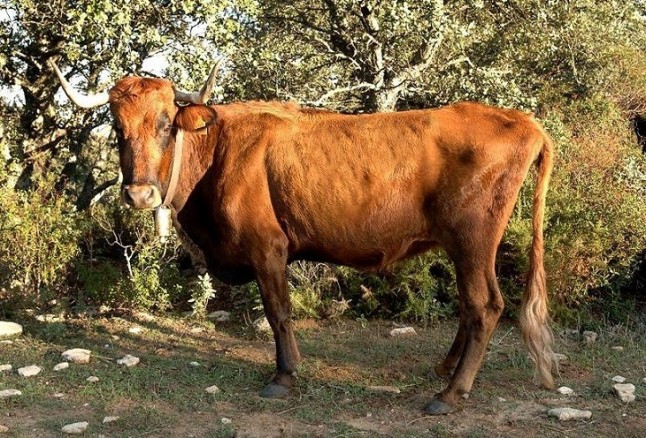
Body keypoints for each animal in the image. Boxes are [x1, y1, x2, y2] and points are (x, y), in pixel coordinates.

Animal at [50, 60, 555, 415]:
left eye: (164, 124)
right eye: (117, 128)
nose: (139, 193)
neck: (216, 151)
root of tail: (522, 120)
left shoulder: (267, 247)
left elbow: (278, 312)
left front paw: (284, 375)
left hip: (472, 239)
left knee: (485, 306)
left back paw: (450, 392)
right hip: (464, 245)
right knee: (471, 308)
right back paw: (446, 370)